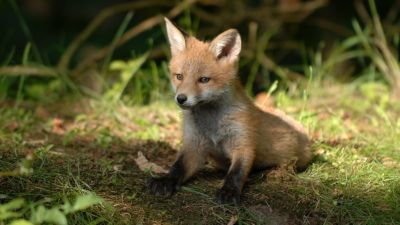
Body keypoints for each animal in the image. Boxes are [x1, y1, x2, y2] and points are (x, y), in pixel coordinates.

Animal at [148, 17, 312, 204]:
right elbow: (177, 167)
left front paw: (229, 191)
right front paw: (165, 180)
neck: (212, 124)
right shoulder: (193, 146)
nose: (181, 98)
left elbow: (236, 172)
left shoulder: (243, 144)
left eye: (204, 80)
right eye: (179, 76)